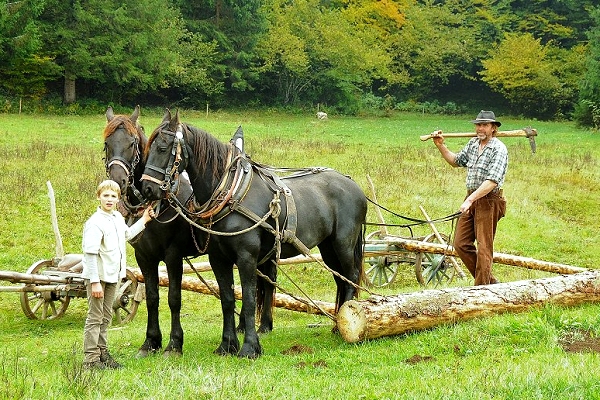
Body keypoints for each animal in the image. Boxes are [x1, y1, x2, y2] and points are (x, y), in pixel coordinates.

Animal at [141, 109, 366, 360]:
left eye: (162, 148)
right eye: (147, 149)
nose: (146, 188)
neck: (233, 193)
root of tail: (352, 184)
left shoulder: (246, 257)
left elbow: (248, 300)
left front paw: (250, 347)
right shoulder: (218, 258)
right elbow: (228, 299)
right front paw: (227, 345)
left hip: (343, 243)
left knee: (350, 277)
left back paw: (345, 325)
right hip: (327, 247)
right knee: (340, 279)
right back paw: (338, 324)